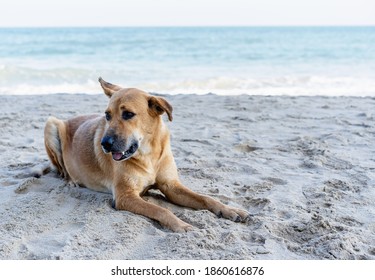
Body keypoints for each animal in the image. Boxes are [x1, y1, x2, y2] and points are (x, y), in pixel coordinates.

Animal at [44, 78, 250, 232]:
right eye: (107, 115)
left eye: (128, 114)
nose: (104, 144)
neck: (148, 154)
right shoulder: (125, 196)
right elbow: (161, 210)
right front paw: (181, 225)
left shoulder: (171, 186)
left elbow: (206, 198)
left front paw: (229, 210)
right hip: (52, 123)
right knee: (61, 170)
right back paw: (71, 182)